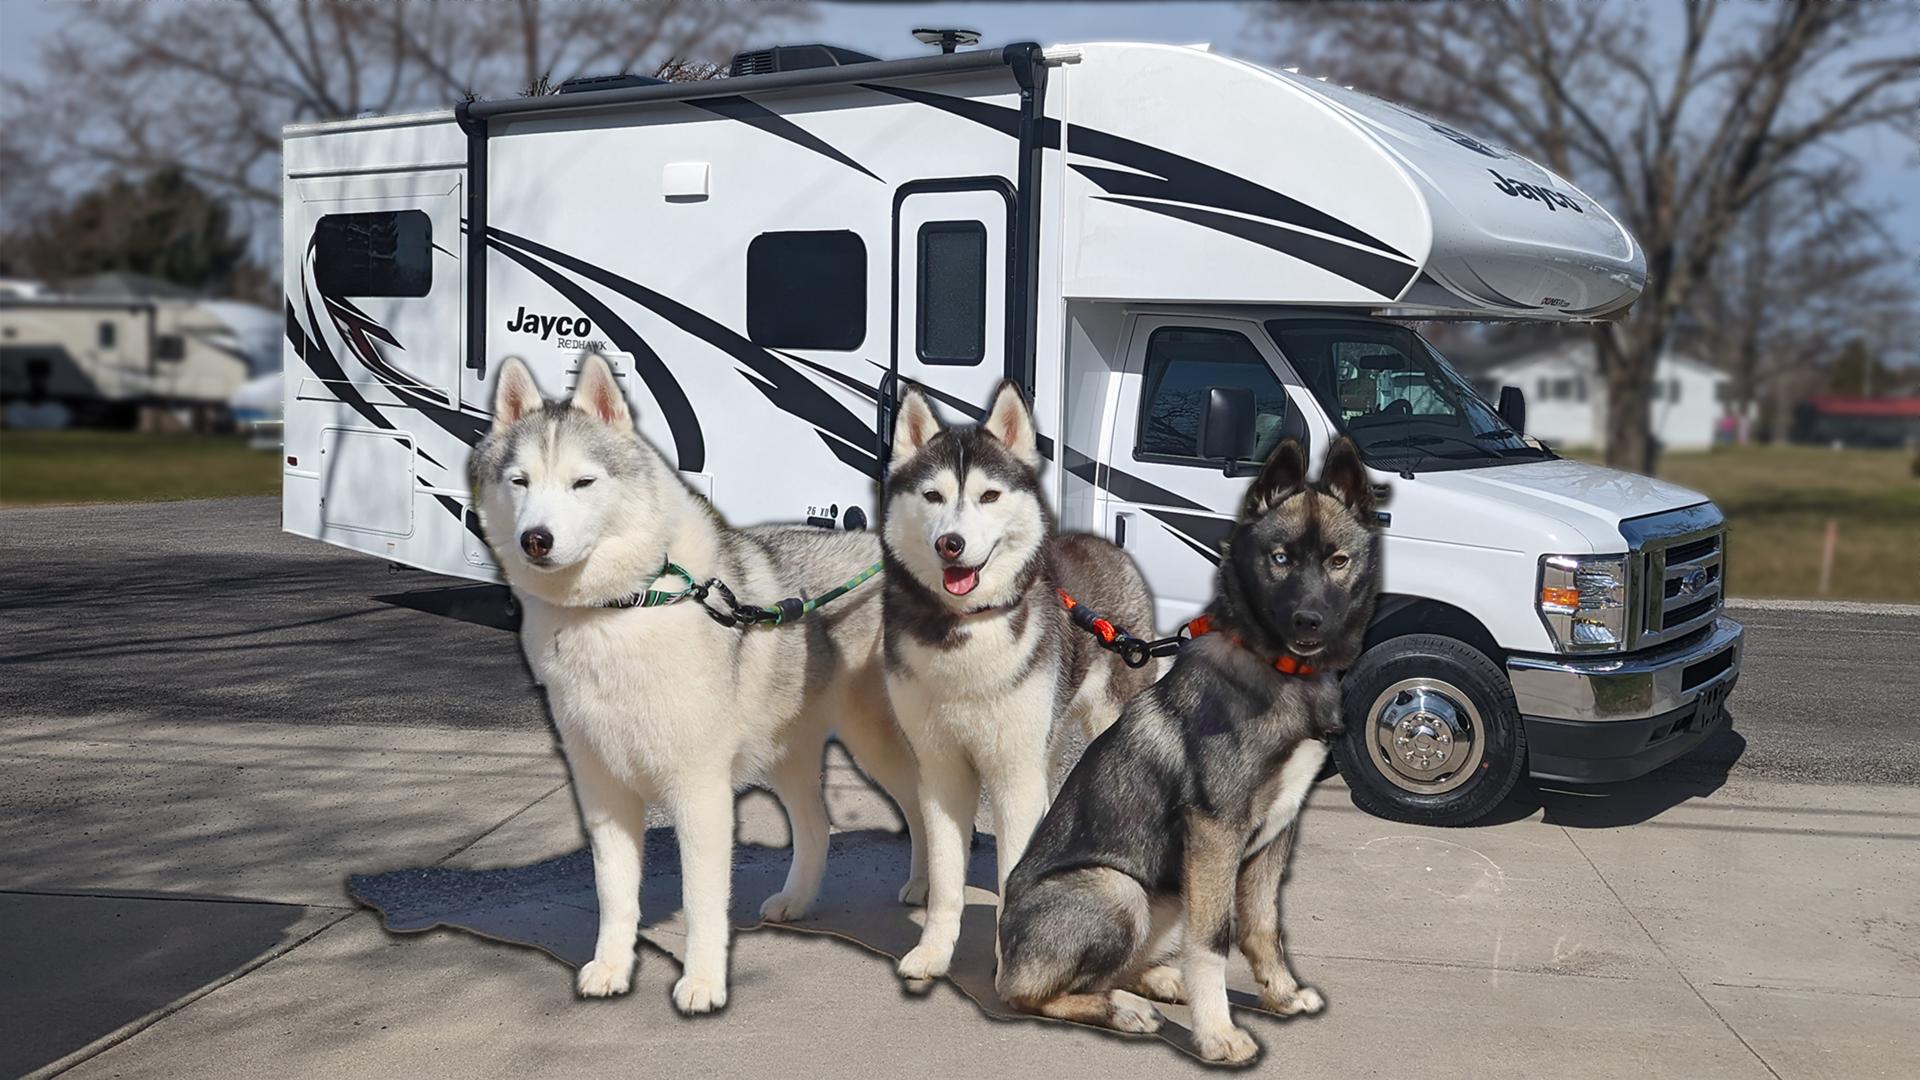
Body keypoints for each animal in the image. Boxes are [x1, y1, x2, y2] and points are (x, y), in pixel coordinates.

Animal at [990, 434, 1382, 1060]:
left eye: (1338, 561)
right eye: (1279, 560)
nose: (1309, 622)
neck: (1281, 672)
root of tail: (1005, 957)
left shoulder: (1278, 829)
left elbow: (1262, 926)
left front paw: (1281, 997)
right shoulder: (1216, 832)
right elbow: (1213, 943)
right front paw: (1218, 1033)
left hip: (1169, 894)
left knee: (1118, 968)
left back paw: (1155, 982)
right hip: (1119, 888)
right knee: (1032, 993)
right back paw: (1122, 1009)